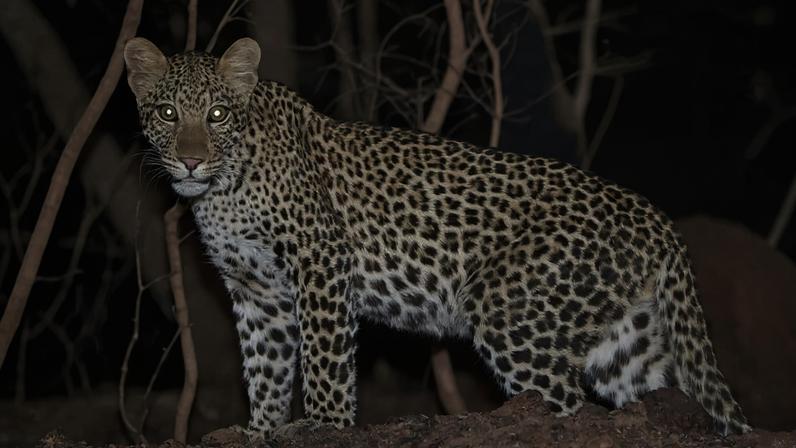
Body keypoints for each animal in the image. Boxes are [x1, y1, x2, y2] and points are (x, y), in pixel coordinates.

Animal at [123, 37, 751, 437]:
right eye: (169, 112)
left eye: (219, 114)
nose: (190, 161)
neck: (221, 191)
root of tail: (655, 216)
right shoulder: (256, 290)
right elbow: (265, 366)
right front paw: (261, 428)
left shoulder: (320, 260)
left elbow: (325, 358)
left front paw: (324, 424)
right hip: (622, 341)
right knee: (667, 395)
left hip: (509, 312)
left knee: (568, 404)